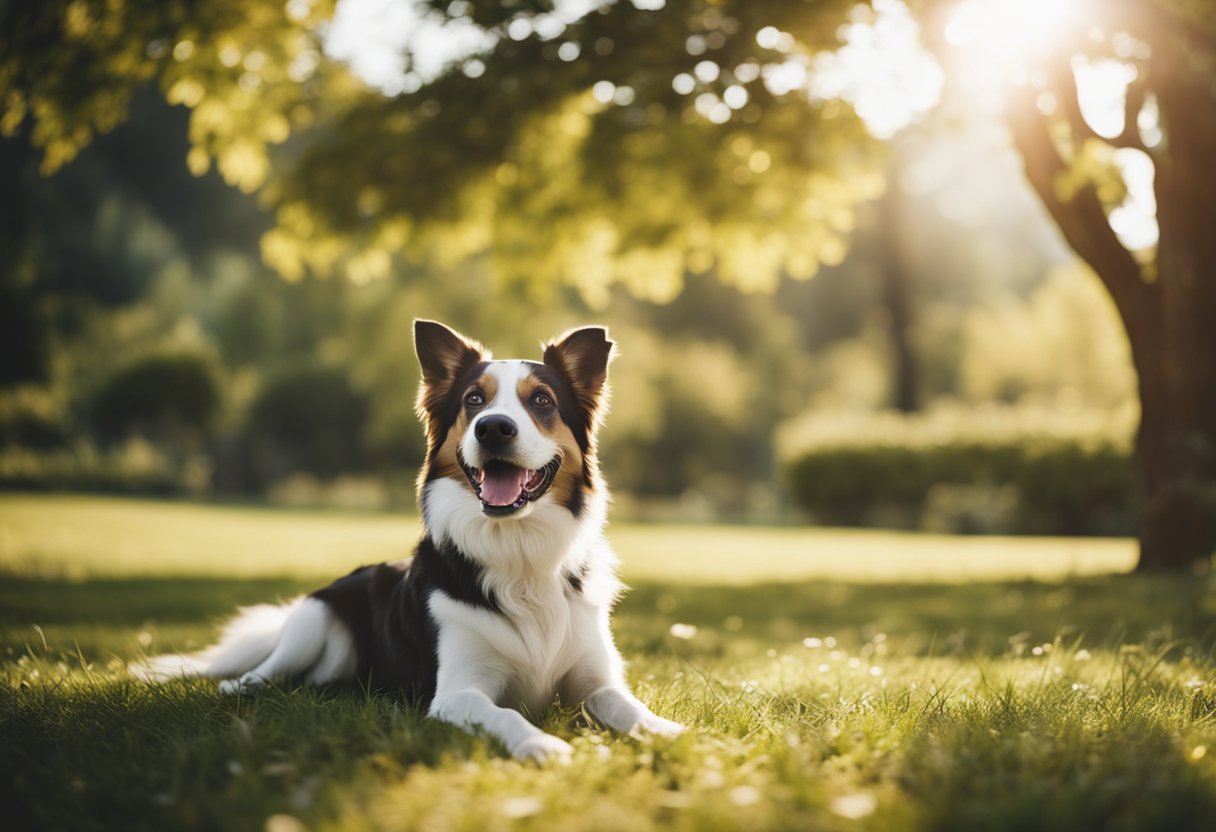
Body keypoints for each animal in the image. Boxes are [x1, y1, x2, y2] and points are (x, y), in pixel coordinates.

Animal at [139, 318, 690, 759]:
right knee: (260, 672)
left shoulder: (595, 681)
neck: (518, 548)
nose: (493, 428)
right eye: (474, 400)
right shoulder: (457, 693)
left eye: (541, 401)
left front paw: (674, 734)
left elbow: (630, 707)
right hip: (313, 619)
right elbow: (508, 714)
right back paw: (240, 686)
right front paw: (542, 744)